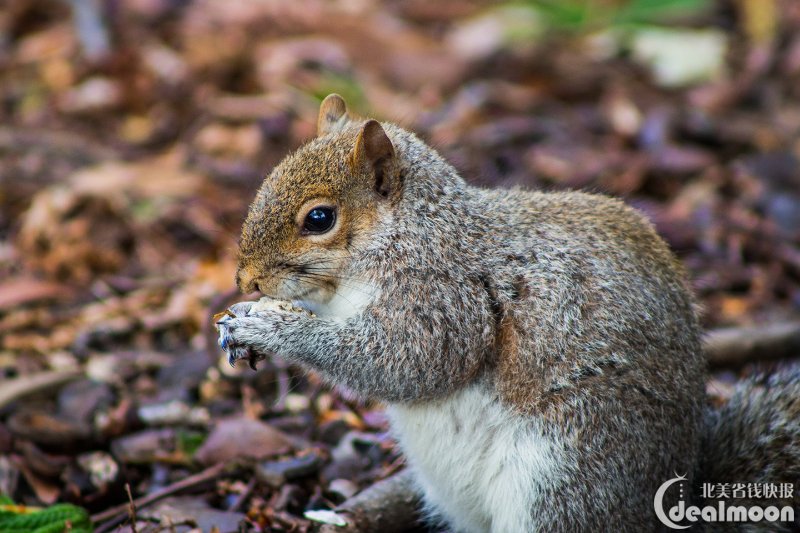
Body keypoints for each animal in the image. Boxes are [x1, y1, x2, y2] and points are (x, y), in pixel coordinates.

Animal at [217, 95, 800, 532]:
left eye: (319, 218)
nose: (245, 280)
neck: (410, 234)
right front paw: (243, 319)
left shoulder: (447, 297)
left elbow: (408, 362)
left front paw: (269, 326)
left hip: (566, 476)